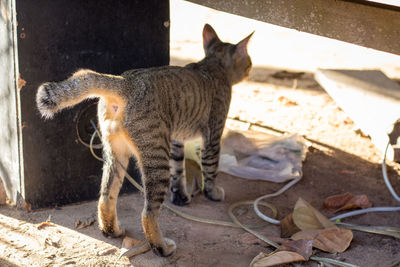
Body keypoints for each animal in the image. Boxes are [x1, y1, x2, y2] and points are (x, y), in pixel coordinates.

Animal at [35, 24, 253, 258]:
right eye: (248, 61)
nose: (250, 68)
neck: (213, 65)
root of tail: (125, 82)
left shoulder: (176, 140)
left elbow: (179, 172)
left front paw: (181, 196)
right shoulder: (213, 135)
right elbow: (210, 169)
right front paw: (213, 193)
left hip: (116, 153)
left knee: (105, 197)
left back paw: (112, 230)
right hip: (155, 158)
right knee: (148, 213)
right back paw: (162, 247)